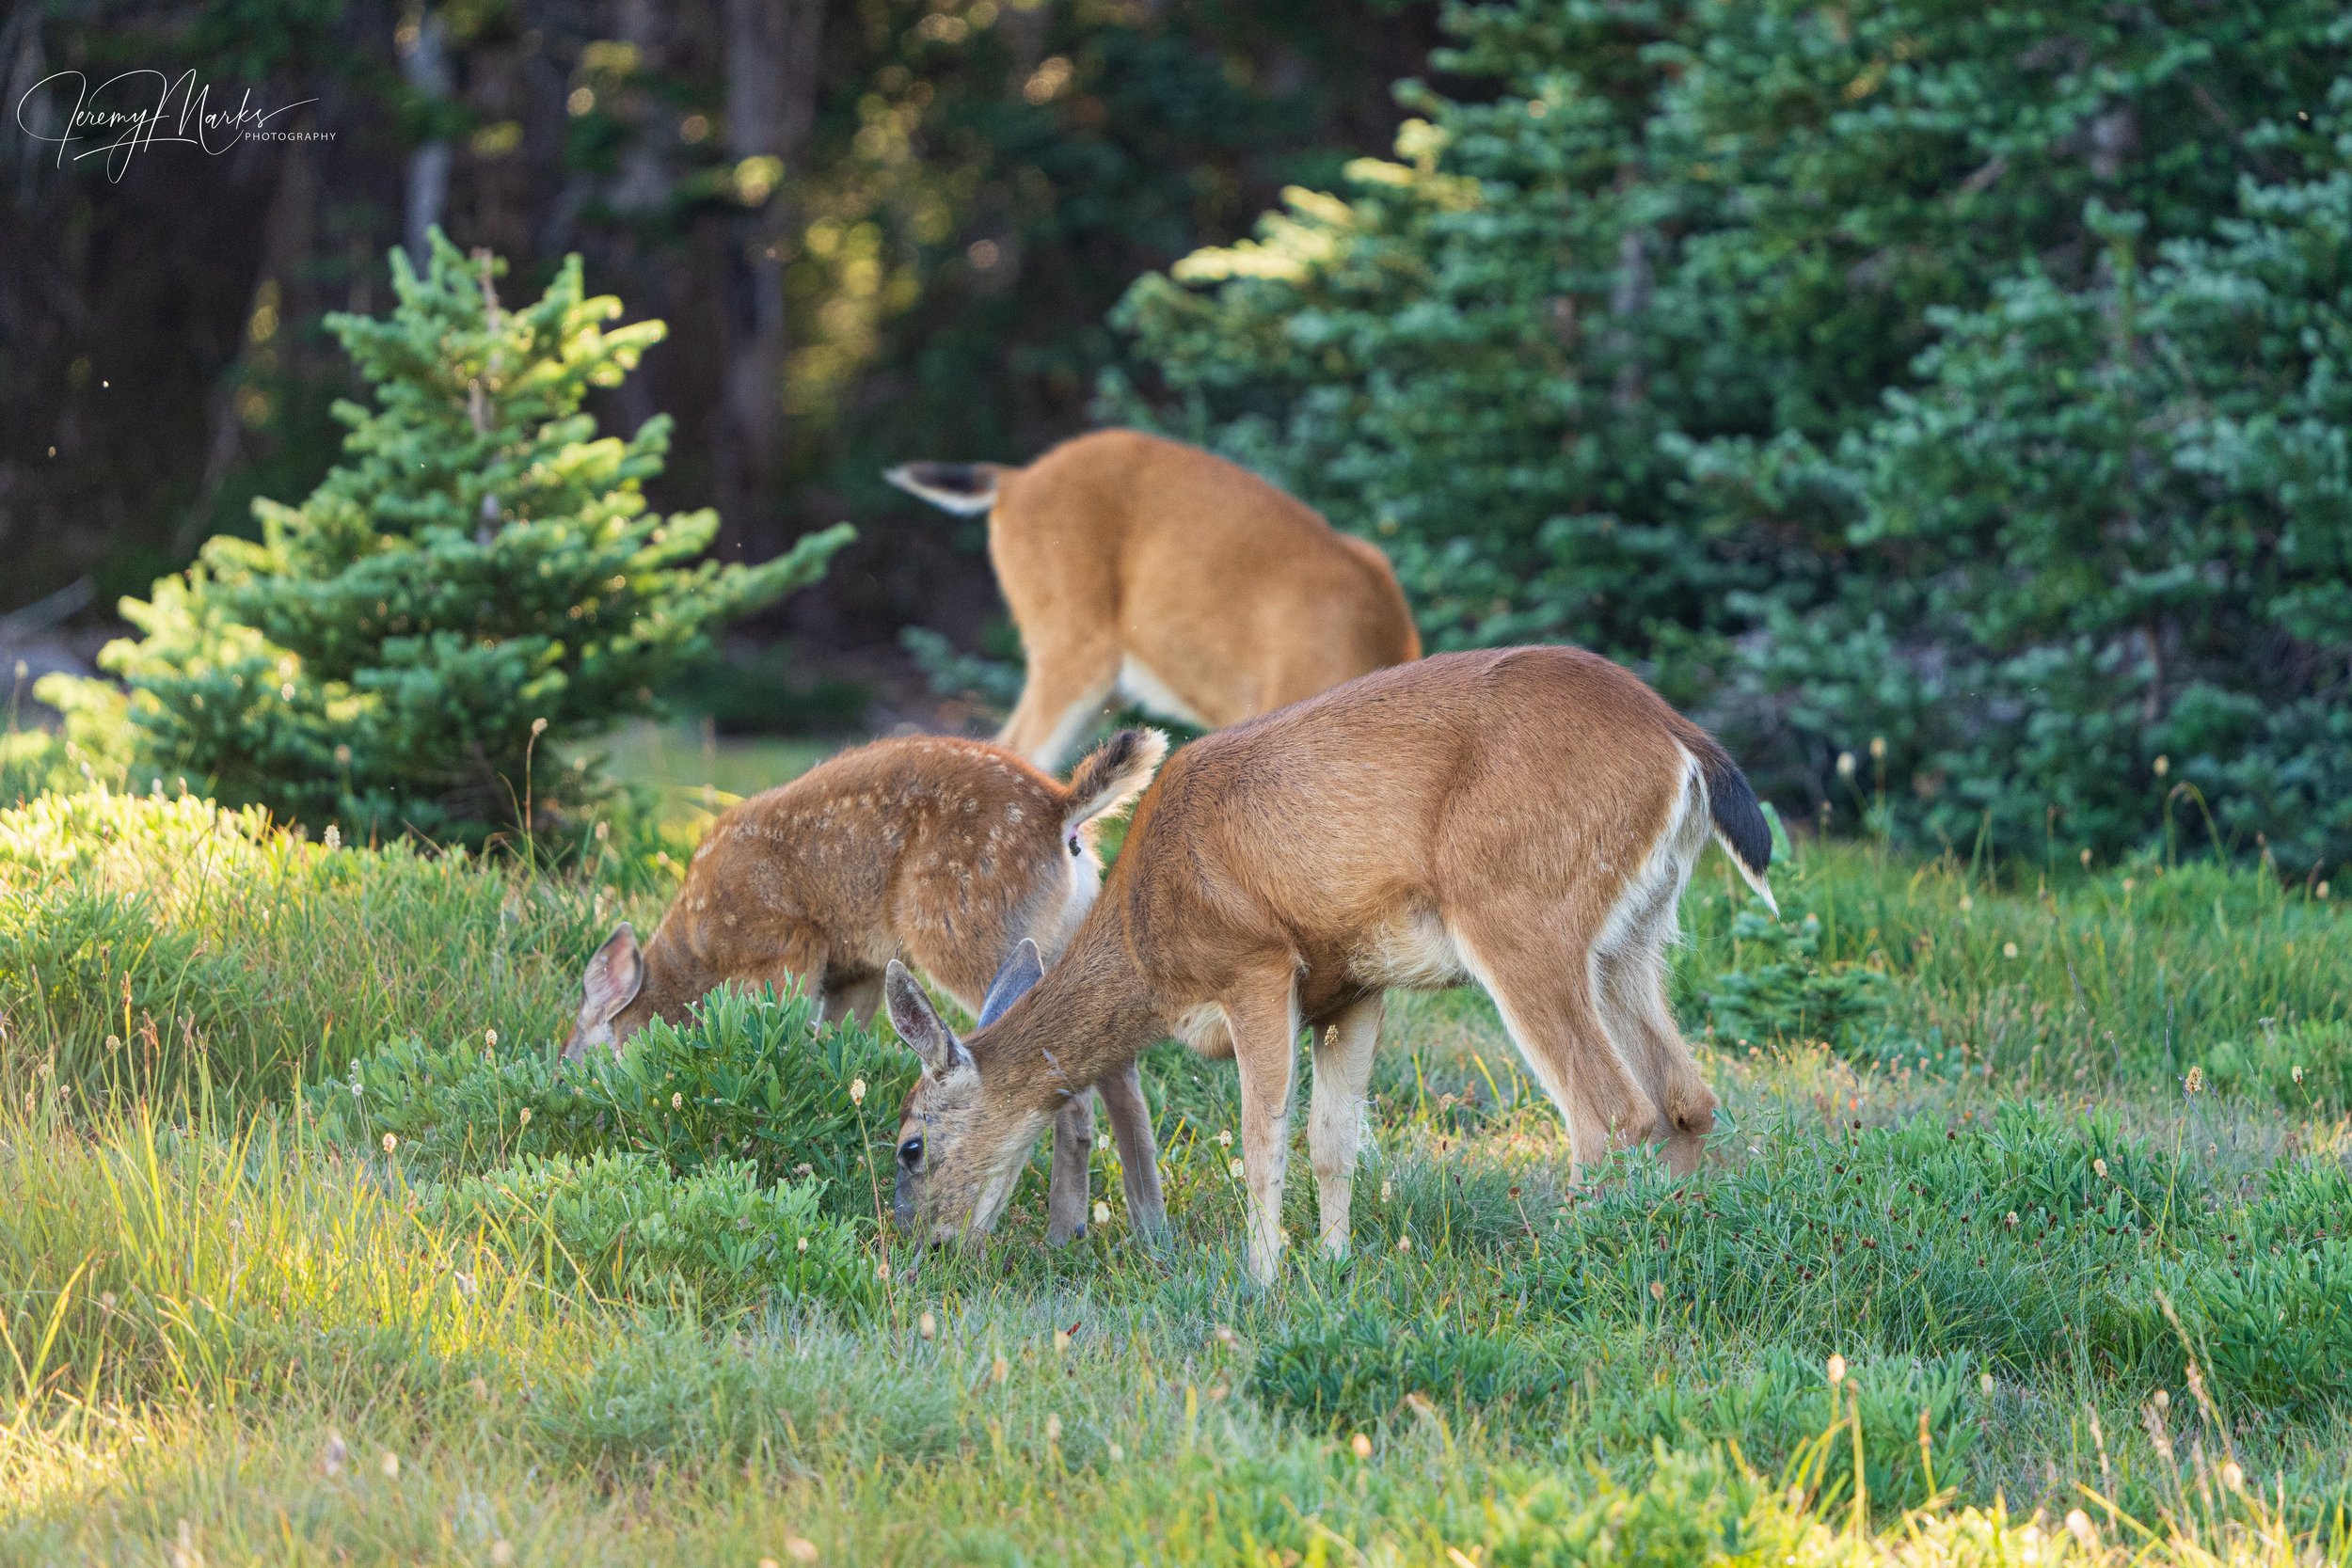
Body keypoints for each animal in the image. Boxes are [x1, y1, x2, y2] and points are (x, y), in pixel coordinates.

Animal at [565, 728, 1171, 1245]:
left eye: (576, 1067)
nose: (592, 1131)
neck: (696, 954)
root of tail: (1062, 810)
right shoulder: (858, 970)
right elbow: (831, 1049)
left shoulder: (786, 949)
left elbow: (777, 1043)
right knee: (1119, 1066)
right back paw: (1147, 1228)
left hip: (969, 934)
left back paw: (1063, 1232)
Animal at [878, 646, 1778, 1285]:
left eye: (910, 1146)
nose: (921, 1251)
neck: (1145, 949)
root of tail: (1681, 742)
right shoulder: (1354, 986)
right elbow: (1333, 1139)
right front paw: (1334, 1263)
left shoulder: (1254, 961)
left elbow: (1262, 1136)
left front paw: (1262, 1278)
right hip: (1634, 933)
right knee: (1687, 1097)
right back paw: (1665, 1241)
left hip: (1520, 907)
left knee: (1611, 1111)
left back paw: (1560, 1257)